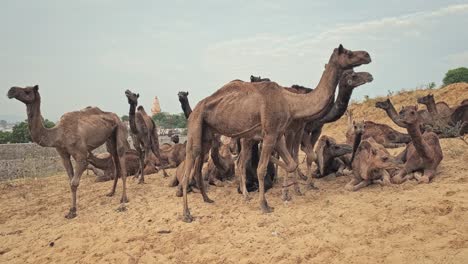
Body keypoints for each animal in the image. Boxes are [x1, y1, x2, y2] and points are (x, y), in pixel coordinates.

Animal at [8, 85, 130, 219]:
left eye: (27, 91)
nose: (11, 91)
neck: (58, 134)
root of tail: (118, 118)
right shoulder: (63, 155)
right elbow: (70, 181)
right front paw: (72, 210)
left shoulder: (81, 155)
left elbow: (74, 182)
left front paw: (72, 211)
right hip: (110, 138)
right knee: (115, 161)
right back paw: (111, 192)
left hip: (120, 130)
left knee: (122, 161)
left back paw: (124, 200)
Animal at [181, 44, 372, 222]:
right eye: (348, 53)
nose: (367, 55)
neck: (291, 102)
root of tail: (196, 108)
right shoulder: (273, 134)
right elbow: (262, 169)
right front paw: (266, 204)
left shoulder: (279, 134)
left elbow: (292, 163)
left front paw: (292, 189)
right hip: (196, 126)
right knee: (191, 159)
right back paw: (187, 214)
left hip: (210, 134)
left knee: (228, 161)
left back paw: (215, 198)